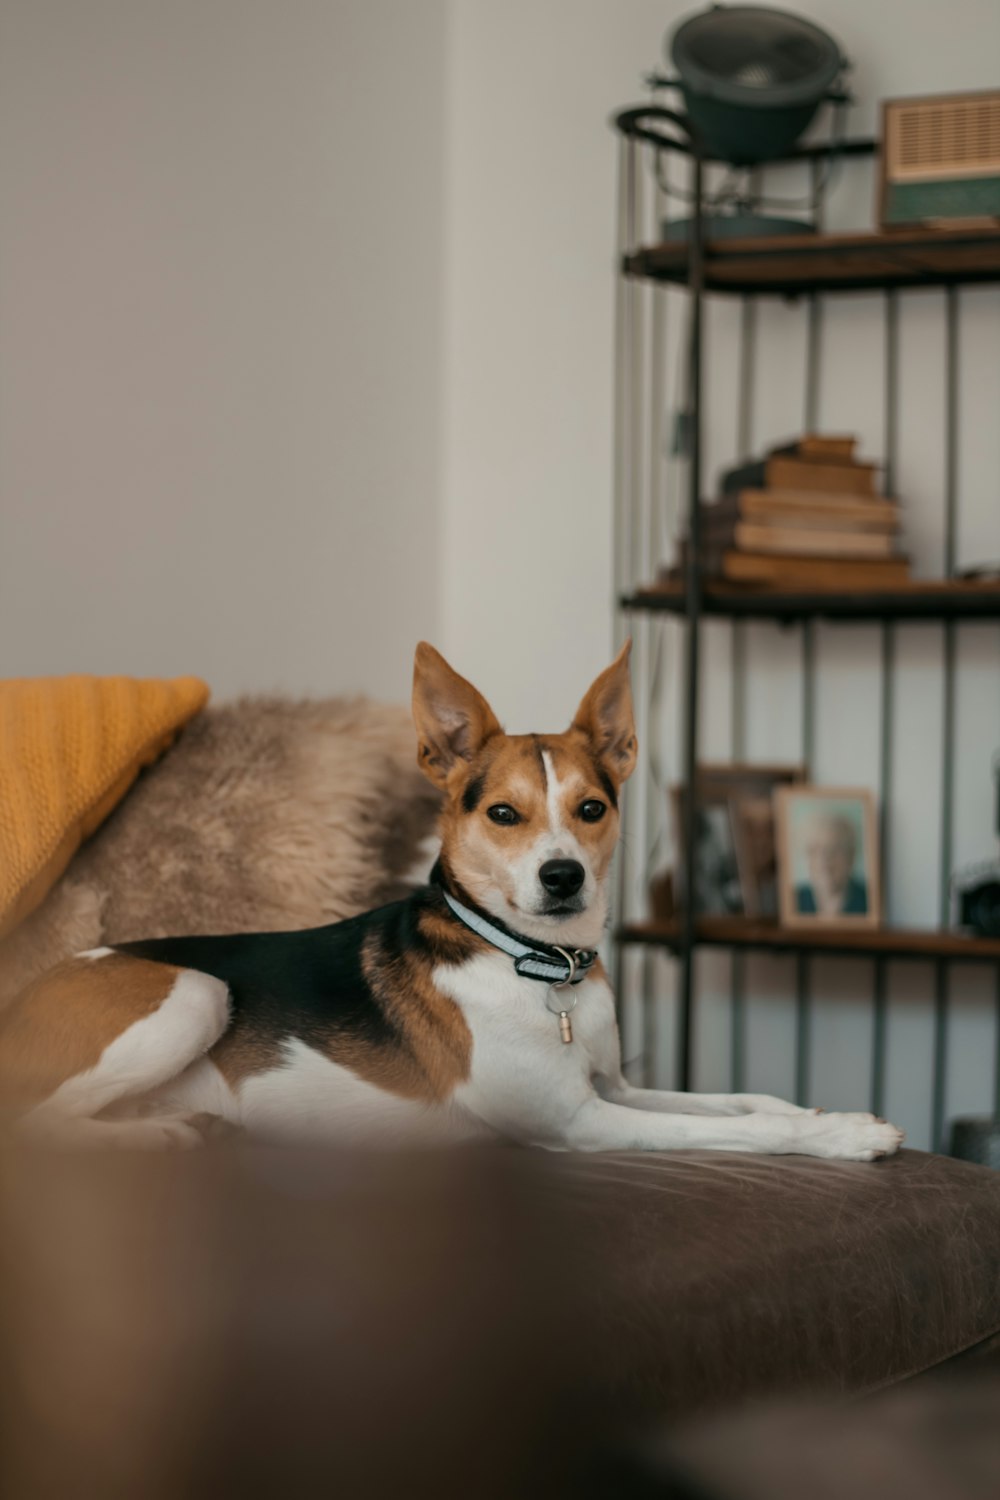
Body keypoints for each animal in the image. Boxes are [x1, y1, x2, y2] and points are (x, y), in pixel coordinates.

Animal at [0, 645, 905, 1158]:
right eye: (502, 813)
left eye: (591, 808)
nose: (563, 876)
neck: (539, 967)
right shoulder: (579, 1121)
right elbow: (747, 1127)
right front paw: (845, 1135)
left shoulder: (612, 1090)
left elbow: (746, 1100)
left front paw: (829, 1110)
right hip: (197, 991)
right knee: (33, 1128)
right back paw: (159, 1133)